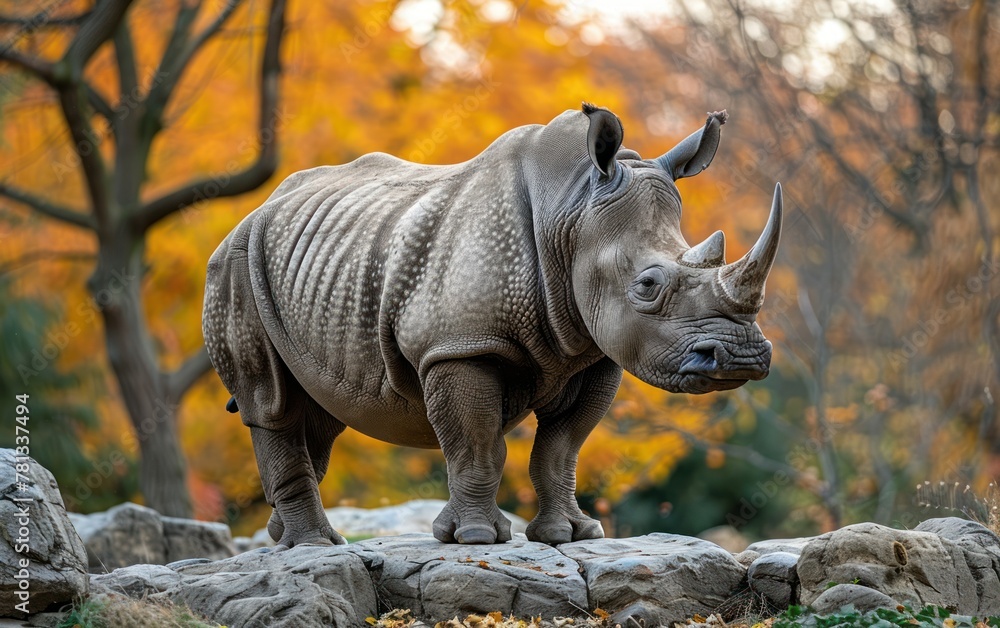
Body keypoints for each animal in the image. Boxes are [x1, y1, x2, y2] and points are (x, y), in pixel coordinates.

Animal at [202, 103, 782, 547]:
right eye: (647, 285)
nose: (741, 359)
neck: (570, 210)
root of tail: (257, 208)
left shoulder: (593, 351)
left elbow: (560, 448)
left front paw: (572, 536)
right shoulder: (460, 345)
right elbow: (478, 441)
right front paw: (476, 539)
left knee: (318, 411)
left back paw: (284, 539)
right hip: (235, 263)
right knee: (272, 402)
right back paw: (315, 546)